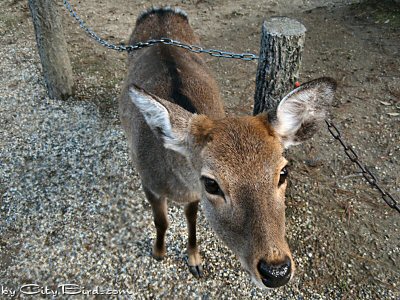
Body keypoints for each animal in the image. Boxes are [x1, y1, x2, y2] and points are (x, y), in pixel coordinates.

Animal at [118, 7, 334, 288]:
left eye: (284, 172)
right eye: (211, 183)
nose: (276, 271)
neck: (177, 184)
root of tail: (160, 11)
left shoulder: (192, 195)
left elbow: (191, 218)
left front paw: (195, 260)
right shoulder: (148, 182)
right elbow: (161, 221)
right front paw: (158, 252)